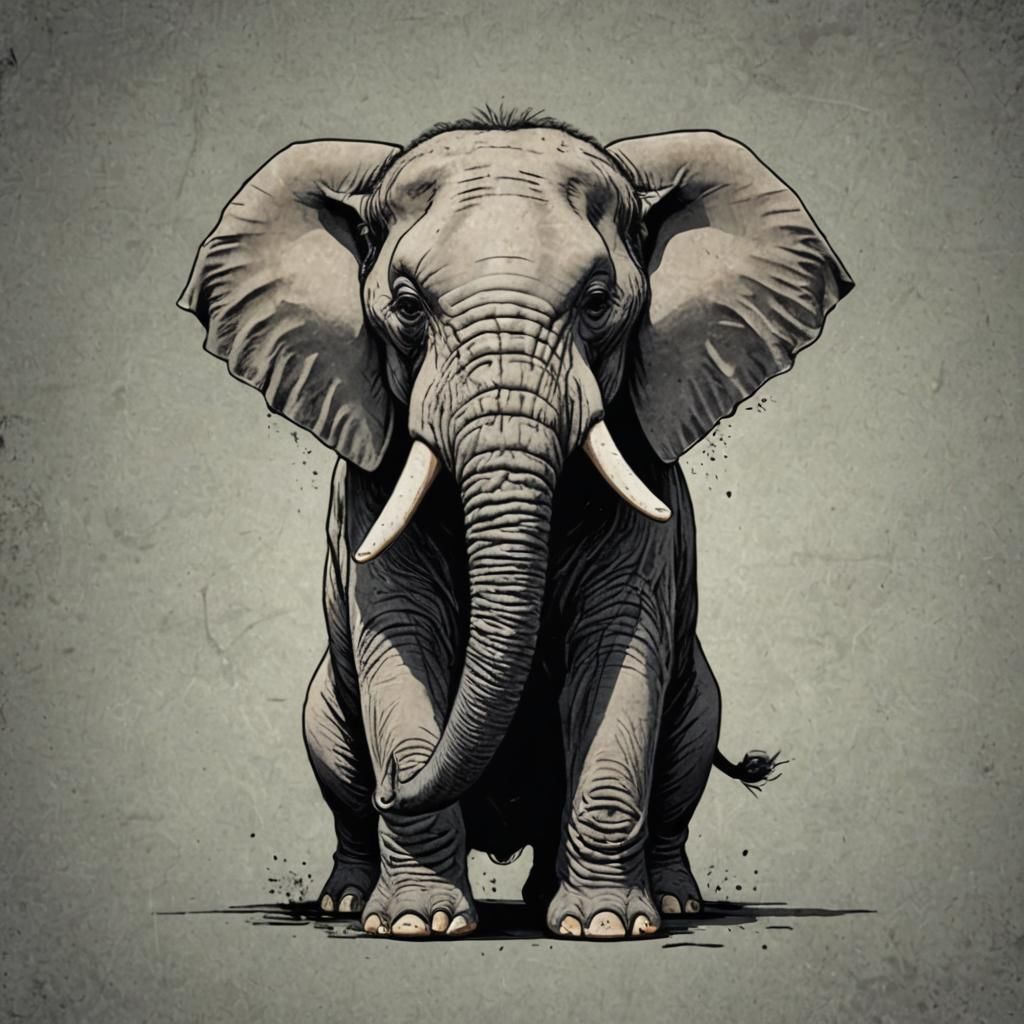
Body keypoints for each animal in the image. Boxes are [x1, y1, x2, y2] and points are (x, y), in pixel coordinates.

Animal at [178, 109, 852, 941]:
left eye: (597, 302)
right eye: (407, 306)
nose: (392, 786)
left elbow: (617, 647)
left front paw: (606, 927)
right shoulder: (372, 489)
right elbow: (402, 636)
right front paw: (419, 925)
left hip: (699, 704)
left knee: (685, 756)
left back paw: (661, 903)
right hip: (325, 718)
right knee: (335, 764)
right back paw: (347, 901)